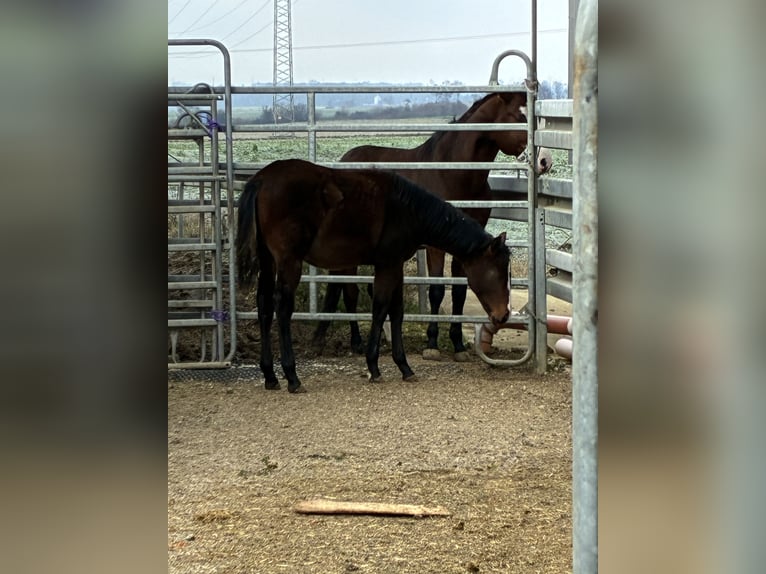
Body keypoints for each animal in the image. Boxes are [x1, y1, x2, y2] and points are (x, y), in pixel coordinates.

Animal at [236, 158, 511, 393]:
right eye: (497, 270)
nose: (503, 315)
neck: (408, 211)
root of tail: (262, 179)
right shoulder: (387, 265)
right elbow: (380, 309)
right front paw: (374, 367)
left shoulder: (395, 266)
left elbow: (397, 312)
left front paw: (404, 367)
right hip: (288, 261)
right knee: (282, 307)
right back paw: (292, 377)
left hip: (268, 260)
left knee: (264, 305)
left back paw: (270, 376)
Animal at [311, 91, 551, 361]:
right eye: (518, 117)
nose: (545, 160)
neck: (454, 173)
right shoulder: (437, 246)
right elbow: (436, 291)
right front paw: (432, 344)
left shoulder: (467, 246)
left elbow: (459, 292)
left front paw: (458, 345)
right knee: (345, 289)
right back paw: (347, 341)